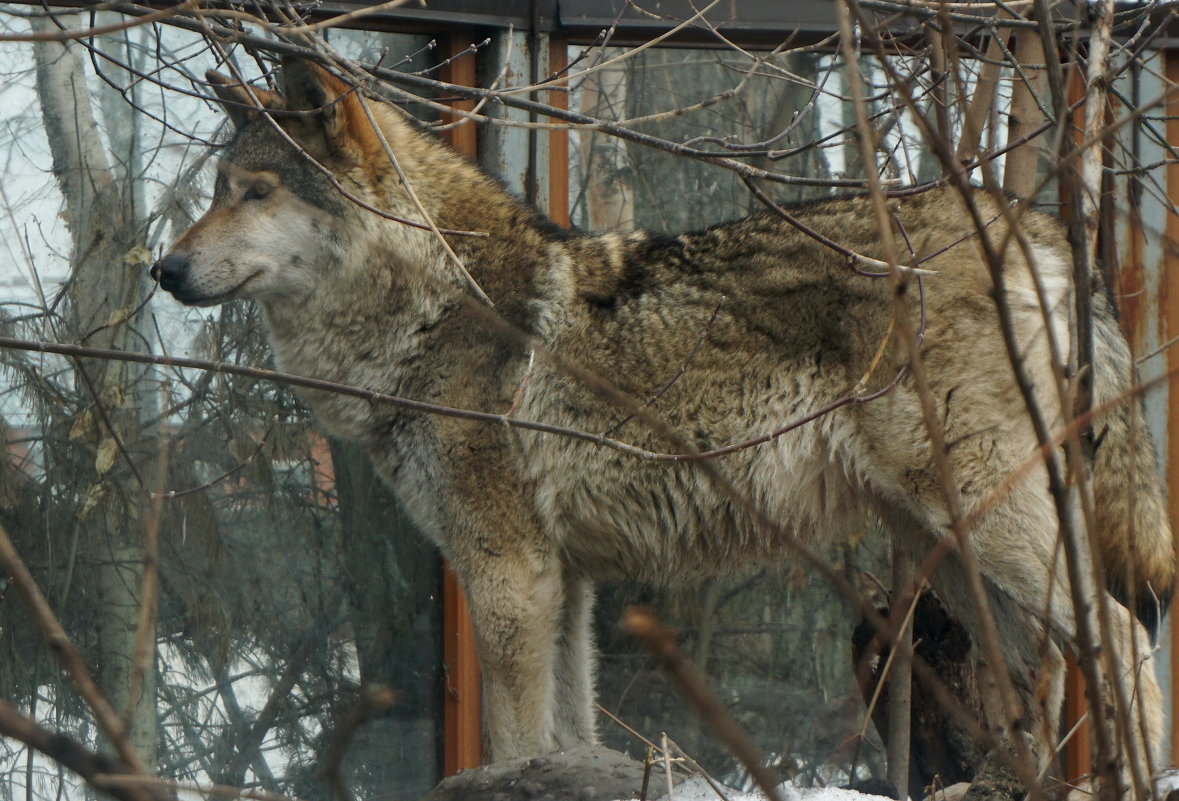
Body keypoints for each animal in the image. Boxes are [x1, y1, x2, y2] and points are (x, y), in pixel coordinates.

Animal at [154, 59, 1169, 792]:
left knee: (1120, 635)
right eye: (215, 187)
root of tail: (1035, 224)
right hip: (955, 551)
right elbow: (567, 732)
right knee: (1042, 674)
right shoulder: (563, 580)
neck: (431, 303)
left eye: (254, 192)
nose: (163, 269)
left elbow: (514, 736)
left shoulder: (508, 573)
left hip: (987, 529)